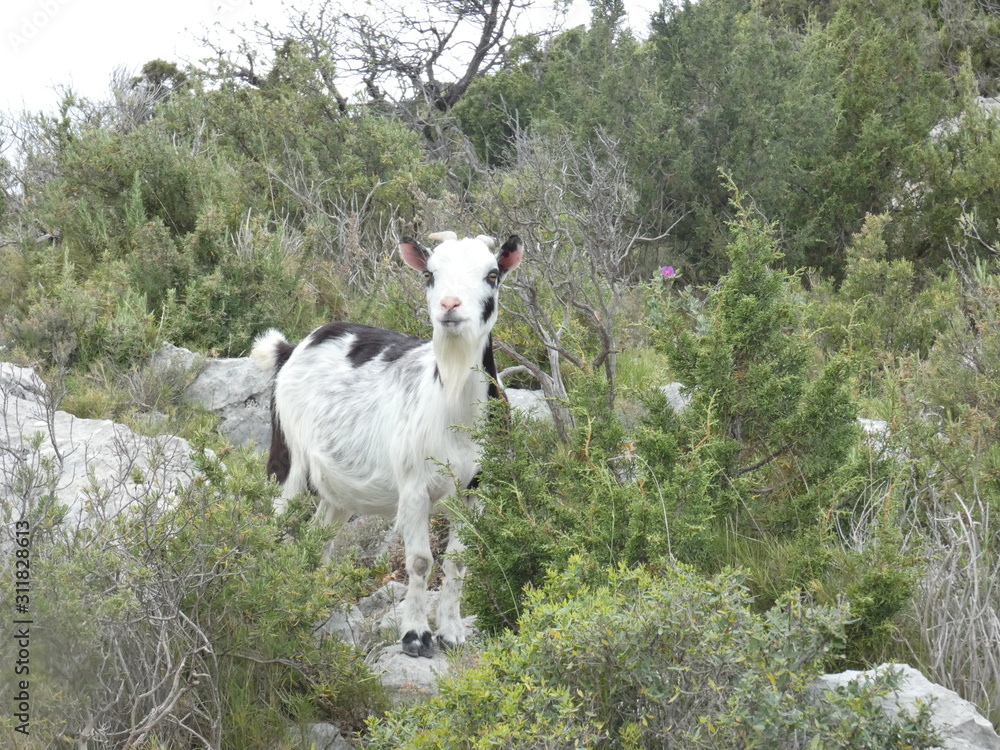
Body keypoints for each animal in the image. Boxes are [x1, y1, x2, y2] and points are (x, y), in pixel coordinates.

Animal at [250, 232, 523, 657]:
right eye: (429, 274)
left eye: (492, 274)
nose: (450, 305)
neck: (454, 409)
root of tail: (292, 348)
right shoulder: (413, 486)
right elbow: (420, 561)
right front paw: (415, 636)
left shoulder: (478, 487)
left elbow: (459, 561)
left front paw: (451, 633)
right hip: (287, 459)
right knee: (275, 521)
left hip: (336, 489)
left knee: (318, 535)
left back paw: (313, 598)